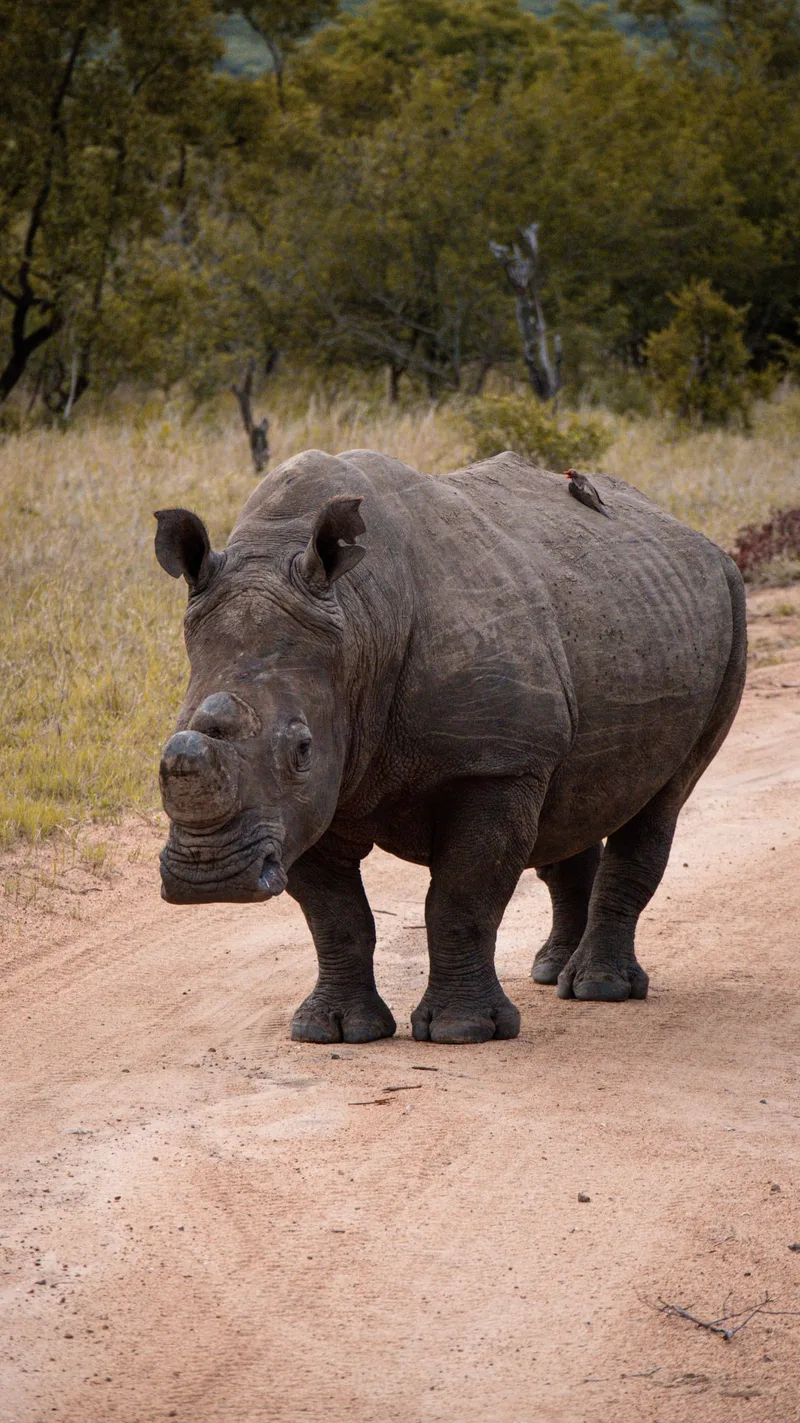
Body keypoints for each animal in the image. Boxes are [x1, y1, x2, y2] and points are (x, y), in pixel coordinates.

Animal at [154, 449, 746, 1045]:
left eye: (301, 750)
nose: (211, 876)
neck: (360, 625)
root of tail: (697, 537)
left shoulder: (496, 764)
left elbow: (462, 898)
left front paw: (462, 1032)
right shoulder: (301, 803)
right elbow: (334, 916)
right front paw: (333, 1031)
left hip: (730, 607)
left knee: (662, 801)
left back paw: (599, 988)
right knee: (574, 800)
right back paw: (551, 971)